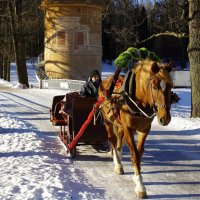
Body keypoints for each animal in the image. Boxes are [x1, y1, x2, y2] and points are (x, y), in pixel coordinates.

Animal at [98, 59, 173, 198]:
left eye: (171, 86)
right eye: (155, 86)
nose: (165, 118)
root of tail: (106, 80)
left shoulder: (145, 129)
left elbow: (140, 153)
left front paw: (136, 175)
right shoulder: (128, 128)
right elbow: (134, 154)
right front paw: (140, 185)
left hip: (119, 122)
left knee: (119, 137)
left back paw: (119, 155)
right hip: (108, 121)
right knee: (112, 139)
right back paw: (117, 163)